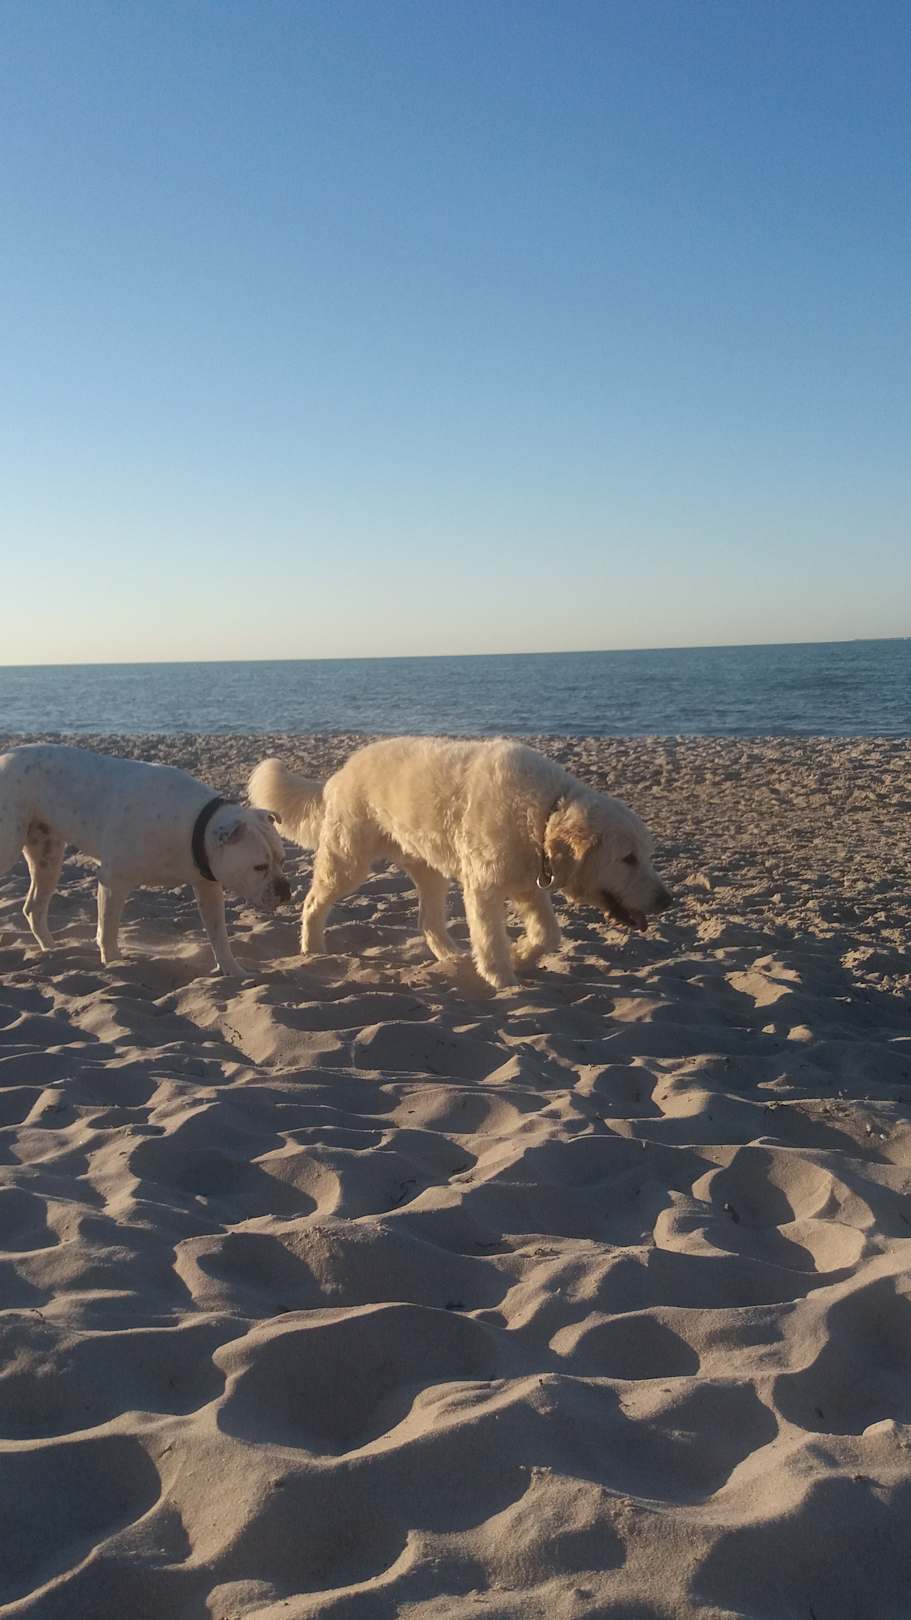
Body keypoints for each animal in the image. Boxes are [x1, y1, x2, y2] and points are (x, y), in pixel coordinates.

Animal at [0, 744, 291, 975]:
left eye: (282, 861)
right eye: (259, 867)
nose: (285, 889)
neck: (192, 825)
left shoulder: (208, 888)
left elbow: (219, 935)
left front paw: (234, 971)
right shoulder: (113, 882)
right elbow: (108, 929)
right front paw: (114, 962)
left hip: (47, 857)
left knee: (34, 908)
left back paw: (51, 950)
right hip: (10, 847)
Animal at [249, 736, 672, 990]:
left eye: (647, 856)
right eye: (628, 859)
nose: (666, 901)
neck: (542, 813)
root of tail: (340, 773)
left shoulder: (528, 884)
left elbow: (548, 934)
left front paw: (522, 955)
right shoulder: (485, 885)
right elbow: (490, 939)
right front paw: (503, 980)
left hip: (430, 869)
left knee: (428, 922)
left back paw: (452, 958)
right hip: (347, 860)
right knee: (313, 902)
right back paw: (312, 947)